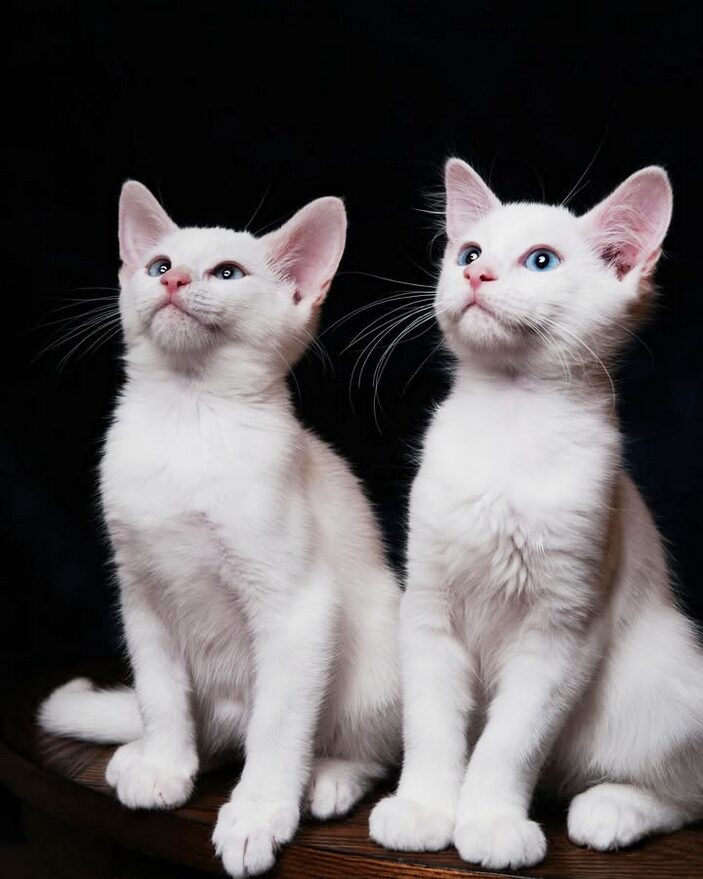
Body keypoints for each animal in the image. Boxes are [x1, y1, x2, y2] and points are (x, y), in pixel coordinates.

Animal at [38, 182, 402, 879]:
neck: (187, 419)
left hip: (376, 645)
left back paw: (327, 778)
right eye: (158, 263)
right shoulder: (141, 595)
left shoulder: (298, 609)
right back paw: (157, 755)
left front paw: (257, 814)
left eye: (228, 273)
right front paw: (164, 766)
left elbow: (279, 728)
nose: (173, 278)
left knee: (362, 742)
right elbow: (159, 696)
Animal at [368, 162, 703, 868]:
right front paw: (425, 808)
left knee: (687, 795)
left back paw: (613, 810)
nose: (478, 276)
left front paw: (491, 821)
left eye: (541, 260)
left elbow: (511, 740)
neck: (510, 421)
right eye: (469, 253)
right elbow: (431, 727)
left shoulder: (563, 628)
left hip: (663, 675)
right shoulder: (428, 608)